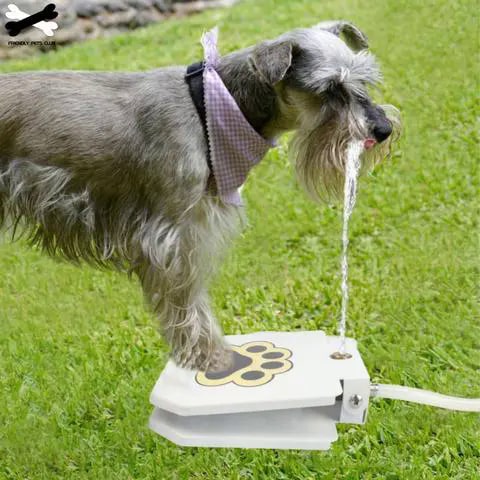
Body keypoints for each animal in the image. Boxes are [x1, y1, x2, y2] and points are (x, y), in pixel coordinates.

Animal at [0, 19, 400, 372]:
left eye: (364, 79)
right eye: (330, 88)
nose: (383, 129)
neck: (209, 108)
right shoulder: (172, 238)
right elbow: (187, 303)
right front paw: (210, 359)